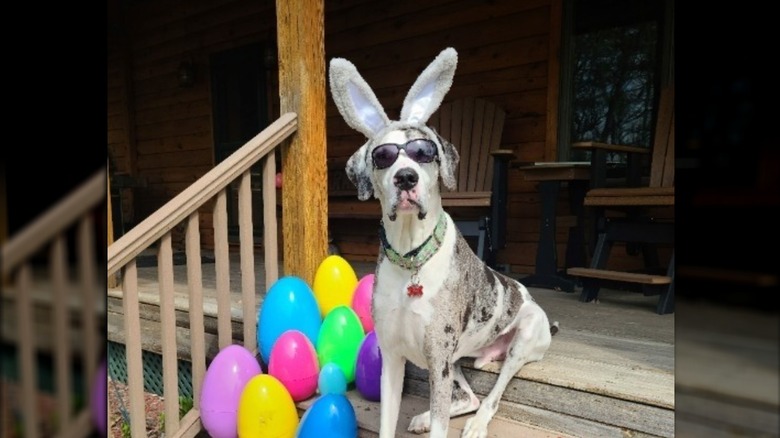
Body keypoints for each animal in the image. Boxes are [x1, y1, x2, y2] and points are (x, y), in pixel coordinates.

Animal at [330, 48, 560, 438]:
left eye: (424, 151)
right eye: (382, 156)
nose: (406, 178)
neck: (411, 258)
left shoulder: (438, 357)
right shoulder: (394, 359)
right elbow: (387, 420)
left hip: (522, 338)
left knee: (490, 397)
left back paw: (477, 425)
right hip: (451, 362)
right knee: (468, 396)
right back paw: (425, 418)